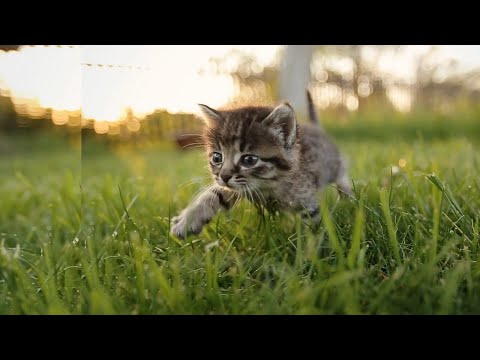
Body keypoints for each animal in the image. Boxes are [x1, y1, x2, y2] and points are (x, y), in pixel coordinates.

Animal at [171, 90, 350, 239]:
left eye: (249, 160)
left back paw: (348, 199)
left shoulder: (308, 200)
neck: (267, 185)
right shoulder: (239, 187)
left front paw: (311, 252)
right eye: (217, 157)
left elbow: (313, 225)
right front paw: (186, 222)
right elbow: (212, 194)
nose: (224, 176)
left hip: (335, 164)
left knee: (343, 175)